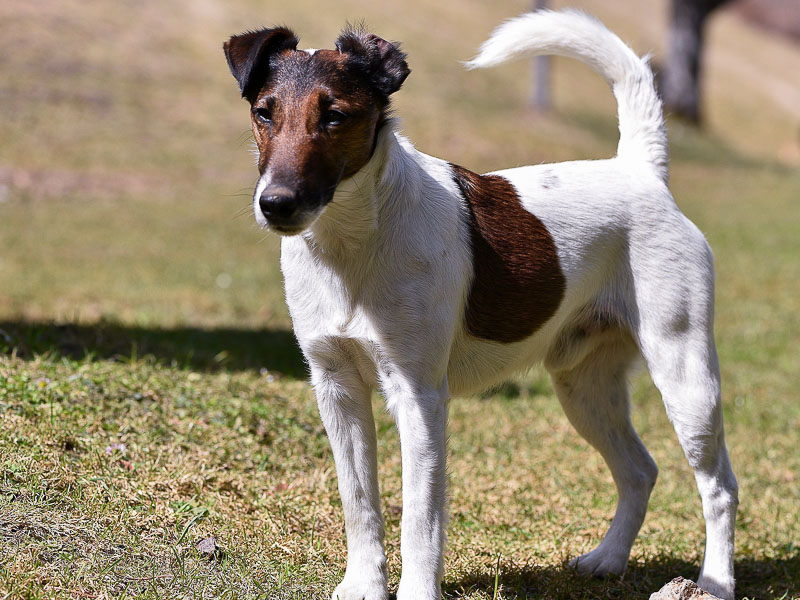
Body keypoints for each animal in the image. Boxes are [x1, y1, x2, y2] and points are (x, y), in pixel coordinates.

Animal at [223, 9, 736, 600]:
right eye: (264, 113)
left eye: (334, 116)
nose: (276, 204)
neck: (351, 244)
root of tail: (640, 170)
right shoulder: (336, 388)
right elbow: (359, 500)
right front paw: (362, 584)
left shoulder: (419, 396)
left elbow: (420, 516)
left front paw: (416, 591)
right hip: (584, 386)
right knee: (639, 470)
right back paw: (607, 559)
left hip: (687, 378)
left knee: (719, 486)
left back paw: (716, 581)